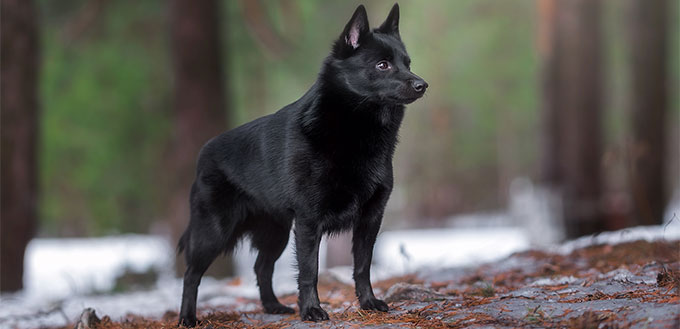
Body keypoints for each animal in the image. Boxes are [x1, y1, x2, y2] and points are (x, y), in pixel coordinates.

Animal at [178, 3, 428, 326]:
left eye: (407, 63)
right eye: (382, 65)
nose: (422, 85)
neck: (354, 131)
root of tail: (203, 153)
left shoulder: (370, 219)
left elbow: (362, 267)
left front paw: (368, 302)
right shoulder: (309, 221)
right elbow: (310, 270)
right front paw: (311, 310)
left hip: (276, 233)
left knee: (261, 267)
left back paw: (273, 306)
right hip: (213, 233)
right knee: (191, 275)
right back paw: (187, 318)